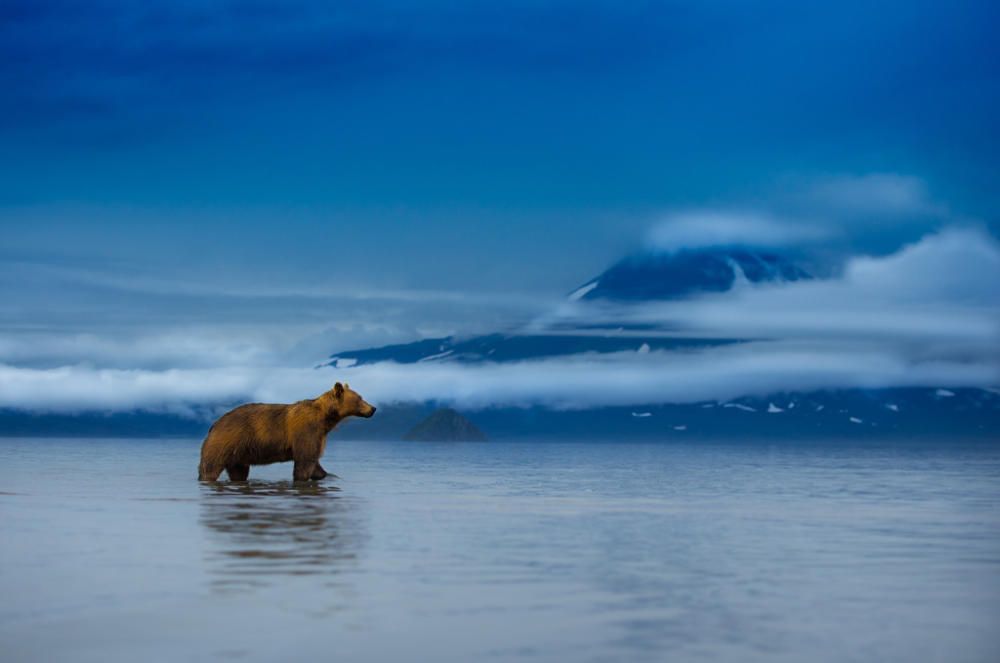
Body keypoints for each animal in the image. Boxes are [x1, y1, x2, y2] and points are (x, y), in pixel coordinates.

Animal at [198, 384, 376, 482]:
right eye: (360, 397)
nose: (373, 408)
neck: (325, 418)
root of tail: (214, 423)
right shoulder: (306, 431)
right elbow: (305, 462)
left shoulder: (319, 436)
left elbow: (315, 463)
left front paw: (327, 475)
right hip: (225, 442)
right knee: (210, 468)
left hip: (239, 452)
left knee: (239, 471)